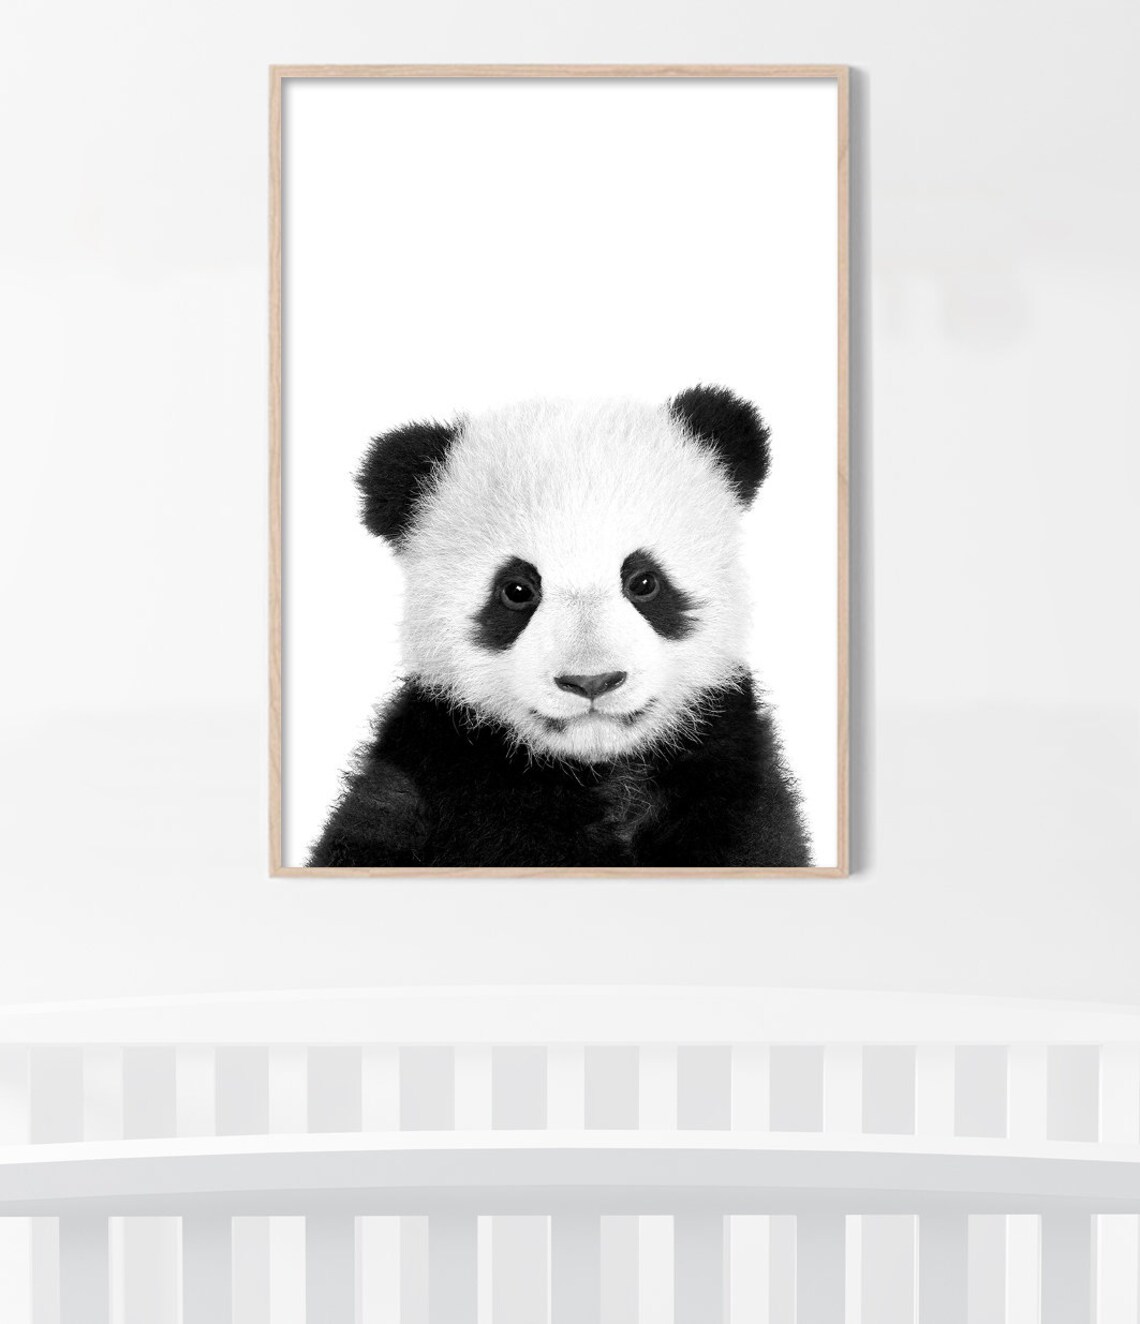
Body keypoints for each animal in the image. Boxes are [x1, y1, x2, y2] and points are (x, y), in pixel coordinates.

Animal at [308, 385, 810, 869]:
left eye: (644, 581)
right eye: (516, 590)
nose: (592, 681)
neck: (598, 769)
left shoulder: (732, 780)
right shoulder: (428, 775)